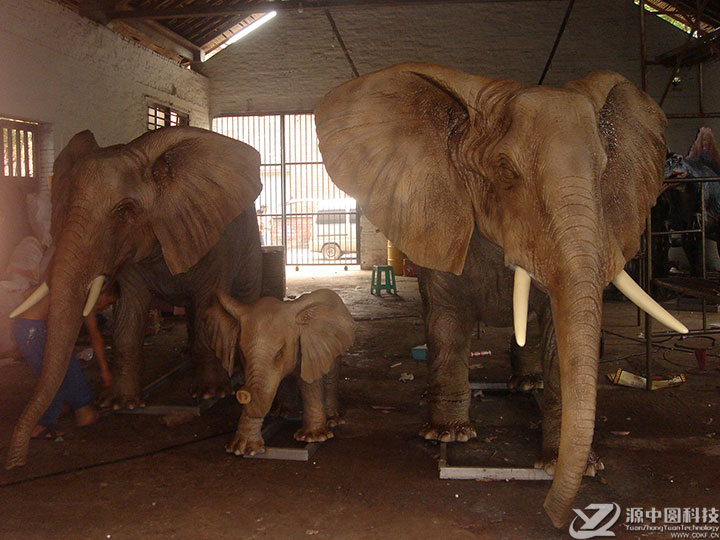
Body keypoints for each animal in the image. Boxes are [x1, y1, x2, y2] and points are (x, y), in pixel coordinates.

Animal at [6, 126, 263, 469]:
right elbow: (129, 312)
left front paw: (211, 395)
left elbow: (209, 305)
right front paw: (120, 403)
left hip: (249, 242)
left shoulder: (213, 241)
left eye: (124, 211)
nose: (14, 464)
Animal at [204, 288, 356, 456]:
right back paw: (285, 414)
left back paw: (333, 421)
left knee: (330, 378)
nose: (242, 393)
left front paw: (313, 438)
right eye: (242, 353)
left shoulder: (308, 347)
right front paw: (241, 449)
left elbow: (309, 384)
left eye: (280, 352)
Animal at [314, 63, 688, 527]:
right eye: (507, 172)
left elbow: (557, 332)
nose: (551, 514)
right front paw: (448, 435)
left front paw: (566, 464)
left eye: (603, 172)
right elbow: (446, 320)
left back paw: (526, 386)